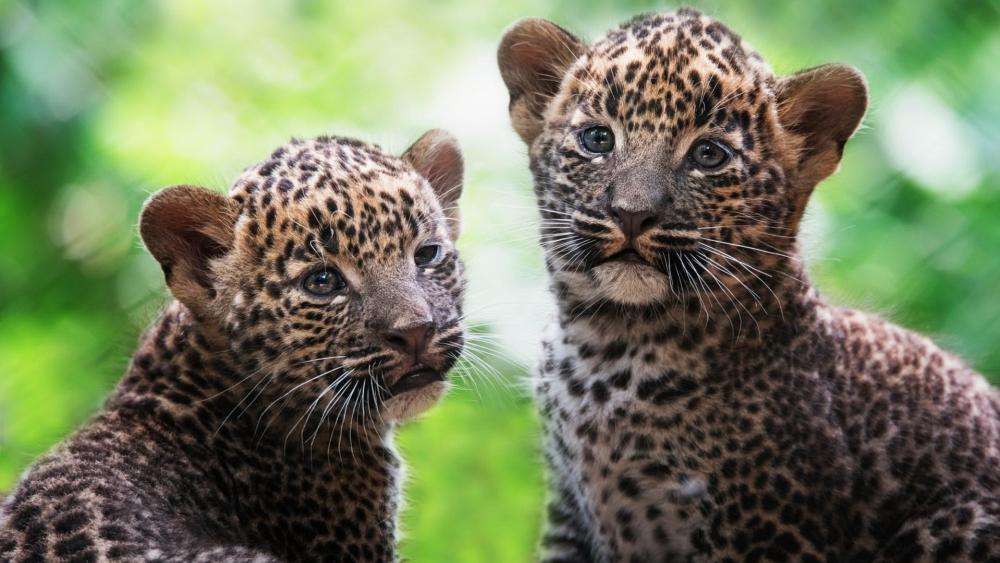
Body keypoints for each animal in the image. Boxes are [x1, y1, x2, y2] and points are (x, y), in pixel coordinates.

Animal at [498, 9, 1000, 562]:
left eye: (709, 155)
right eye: (597, 140)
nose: (632, 214)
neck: (607, 347)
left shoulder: (763, 534)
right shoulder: (568, 514)